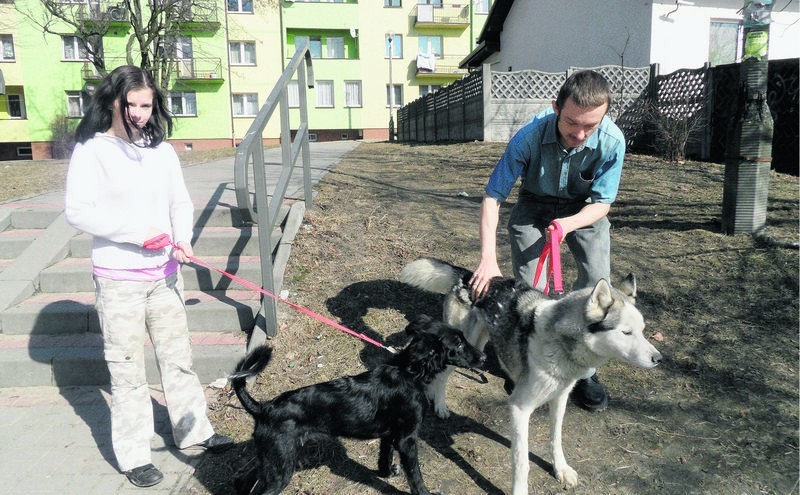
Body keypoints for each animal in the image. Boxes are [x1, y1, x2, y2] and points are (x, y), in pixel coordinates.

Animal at [228, 316, 484, 494]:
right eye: (458, 344)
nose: (483, 358)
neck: (409, 372)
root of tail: (264, 408)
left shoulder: (390, 434)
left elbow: (384, 457)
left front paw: (386, 473)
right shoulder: (407, 439)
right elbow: (415, 476)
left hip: (271, 458)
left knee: (241, 480)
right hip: (280, 467)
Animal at [400, 258, 664, 494]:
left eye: (642, 331)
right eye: (626, 332)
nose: (659, 359)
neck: (560, 343)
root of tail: (468, 276)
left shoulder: (559, 400)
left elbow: (556, 439)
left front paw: (561, 470)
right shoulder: (519, 408)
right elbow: (522, 463)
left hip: (480, 346)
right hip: (463, 349)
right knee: (442, 376)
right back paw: (440, 405)